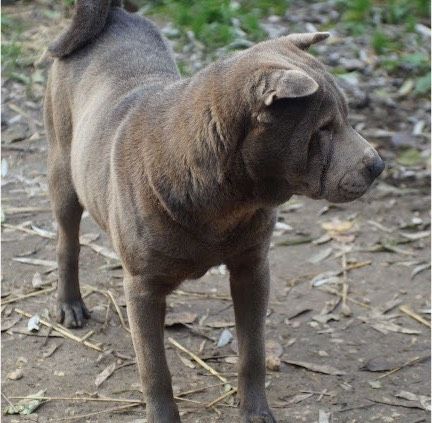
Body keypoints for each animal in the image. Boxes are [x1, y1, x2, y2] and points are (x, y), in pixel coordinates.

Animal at [44, 1, 384, 422]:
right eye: (322, 129)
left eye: (347, 118)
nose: (377, 165)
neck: (227, 197)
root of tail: (114, 16)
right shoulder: (141, 286)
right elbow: (154, 368)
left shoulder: (252, 268)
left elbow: (252, 350)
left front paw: (255, 411)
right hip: (63, 170)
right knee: (67, 241)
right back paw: (69, 304)